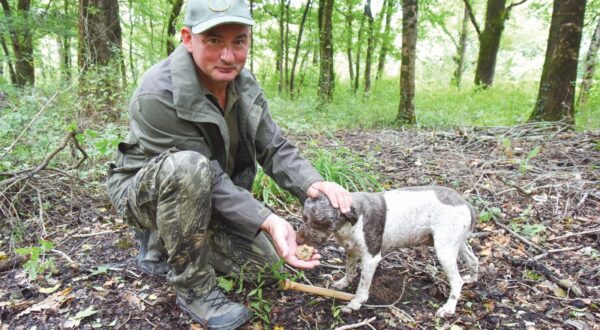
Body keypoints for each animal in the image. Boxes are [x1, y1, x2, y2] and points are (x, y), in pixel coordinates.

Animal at [298, 186, 480, 318]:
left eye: (322, 222)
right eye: (304, 217)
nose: (299, 241)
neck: (353, 221)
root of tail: (465, 203)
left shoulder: (371, 258)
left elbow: (362, 286)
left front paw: (356, 303)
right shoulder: (352, 251)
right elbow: (350, 271)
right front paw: (343, 283)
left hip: (444, 251)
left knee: (457, 281)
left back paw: (448, 308)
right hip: (456, 245)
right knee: (473, 260)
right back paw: (472, 278)